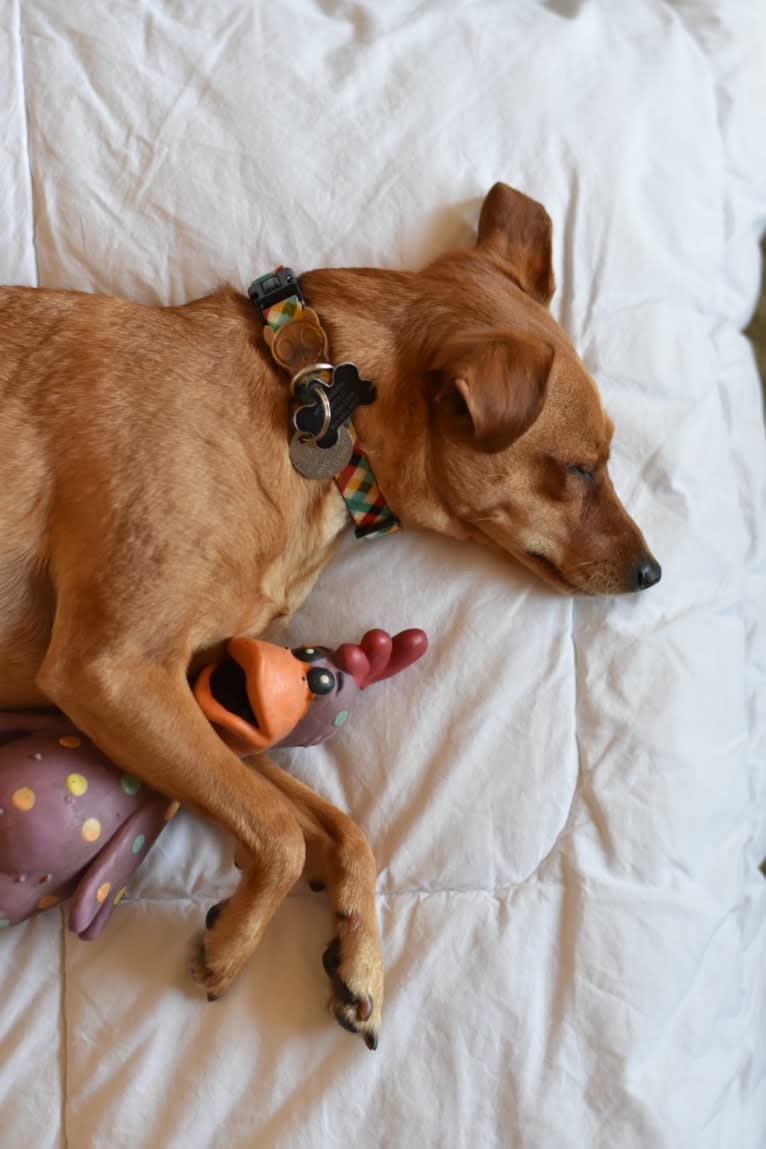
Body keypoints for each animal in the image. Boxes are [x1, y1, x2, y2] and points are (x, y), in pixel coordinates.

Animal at [0, 181, 661, 1052]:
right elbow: (280, 833)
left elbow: (338, 827)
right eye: (581, 469)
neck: (313, 403)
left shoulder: (200, 694)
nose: (653, 572)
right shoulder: (111, 672)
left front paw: (359, 957)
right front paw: (233, 941)